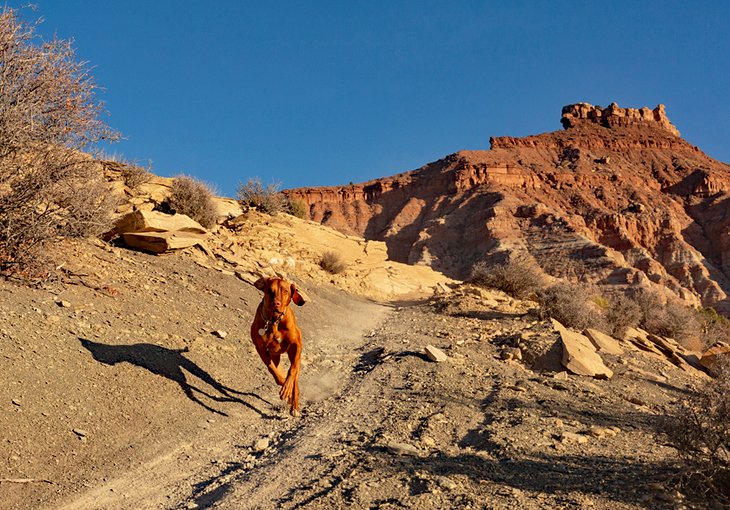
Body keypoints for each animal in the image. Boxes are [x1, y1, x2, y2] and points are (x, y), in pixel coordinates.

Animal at [250, 276, 304, 416]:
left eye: (285, 291)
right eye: (270, 290)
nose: (276, 304)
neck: (274, 321)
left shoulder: (296, 345)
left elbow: (292, 370)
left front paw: (287, 388)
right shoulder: (261, 348)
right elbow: (273, 371)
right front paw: (284, 386)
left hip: (295, 355)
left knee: (295, 377)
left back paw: (294, 406)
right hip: (275, 356)